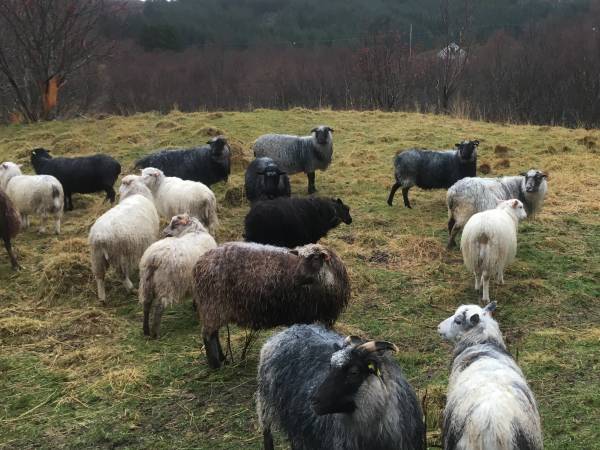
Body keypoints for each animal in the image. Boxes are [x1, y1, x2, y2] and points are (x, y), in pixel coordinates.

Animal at [192, 243, 352, 370]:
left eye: (315, 258)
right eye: (300, 257)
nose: (295, 278)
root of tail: (199, 263)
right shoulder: (306, 315)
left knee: (214, 334)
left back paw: (223, 359)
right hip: (212, 306)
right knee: (208, 336)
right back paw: (216, 365)